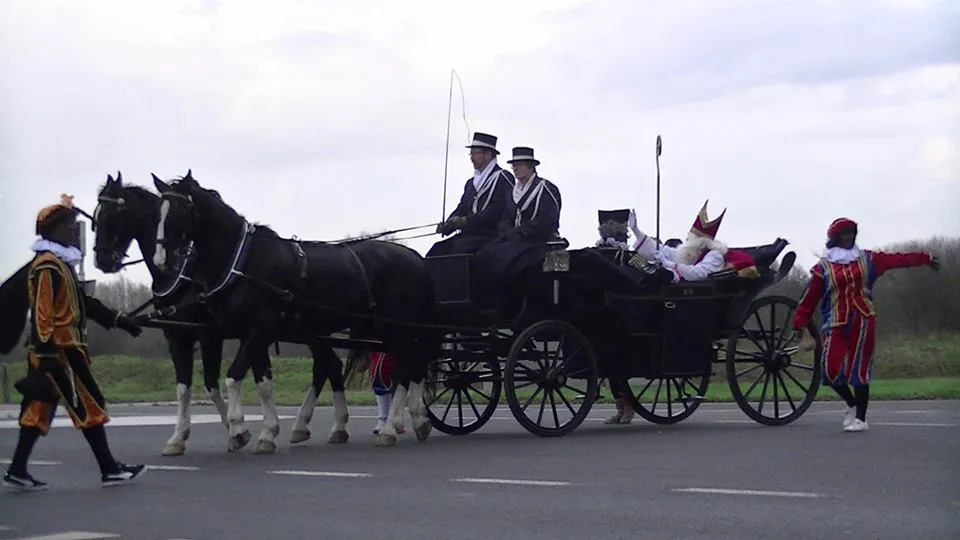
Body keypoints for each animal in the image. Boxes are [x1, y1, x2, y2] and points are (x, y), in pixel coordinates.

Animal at [94, 173, 352, 452]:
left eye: (113, 215)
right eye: (96, 218)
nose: (102, 260)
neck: (184, 275)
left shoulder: (210, 335)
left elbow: (212, 383)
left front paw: (236, 429)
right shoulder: (177, 336)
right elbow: (184, 388)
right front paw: (180, 436)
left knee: (327, 366)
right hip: (311, 331)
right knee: (330, 366)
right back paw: (311, 426)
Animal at [152, 172, 440, 448]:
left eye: (179, 211)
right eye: (158, 213)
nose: (162, 261)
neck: (243, 262)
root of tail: (417, 259)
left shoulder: (255, 330)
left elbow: (233, 378)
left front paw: (239, 429)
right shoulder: (249, 334)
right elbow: (263, 382)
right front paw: (265, 433)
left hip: (397, 327)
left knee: (408, 364)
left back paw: (392, 427)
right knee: (403, 364)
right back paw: (409, 420)